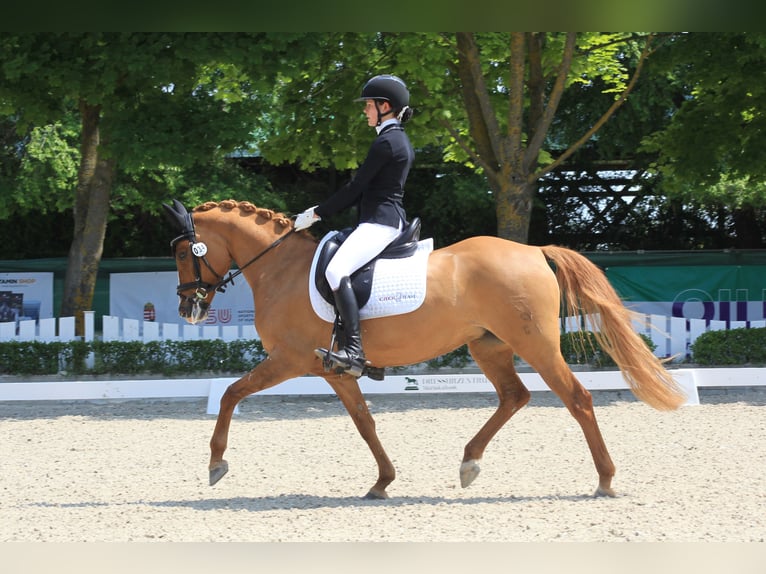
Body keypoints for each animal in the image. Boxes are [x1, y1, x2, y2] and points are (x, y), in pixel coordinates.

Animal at [164, 200, 688, 502]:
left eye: (183, 251)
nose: (189, 307)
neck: (282, 269)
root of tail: (533, 250)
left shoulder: (289, 360)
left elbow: (231, 394)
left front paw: (215, 465)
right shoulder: (332, 370)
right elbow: (365, 423)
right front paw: (382, 482)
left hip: (534, 343)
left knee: (577, 399)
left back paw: (605, 480)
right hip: (489, 345)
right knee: (514, 396)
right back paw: (470, 463)